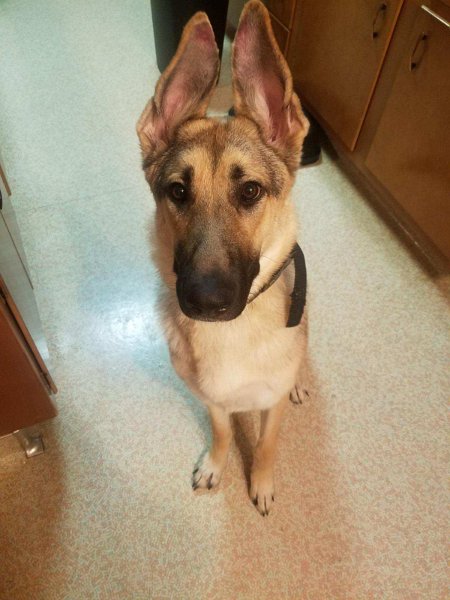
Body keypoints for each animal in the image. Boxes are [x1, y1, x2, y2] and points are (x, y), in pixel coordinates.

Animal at [137, 1, 310, 516]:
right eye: (178, 192)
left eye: (250, 191)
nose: (206, 302)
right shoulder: (210, 399)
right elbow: (221, 431)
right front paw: (216, 464)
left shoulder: (270, 405)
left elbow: (267, 444)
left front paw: (262, 482)